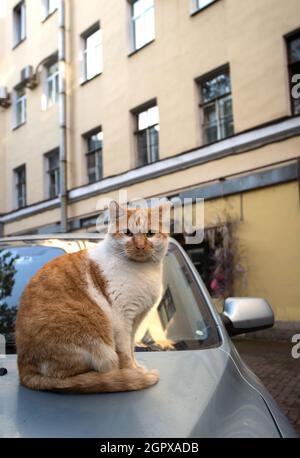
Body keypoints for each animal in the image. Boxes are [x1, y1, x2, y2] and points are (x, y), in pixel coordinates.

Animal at [15, 203, 169, 394]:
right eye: (128, 233)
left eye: (149, 234)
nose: (140, 246)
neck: (143, 271)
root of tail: (24, 371)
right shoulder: (122, 320)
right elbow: (125, 352)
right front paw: (132, 372)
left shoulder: (135, 320)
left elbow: (132, 348)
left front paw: (135, 367)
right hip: (97, 344)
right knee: (68, 376)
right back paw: (106, 376)